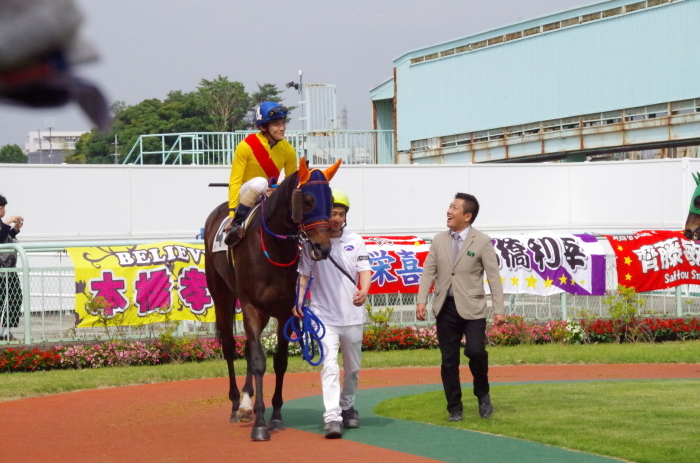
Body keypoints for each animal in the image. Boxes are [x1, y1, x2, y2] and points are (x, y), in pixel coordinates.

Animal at [202, 159, 342, 442]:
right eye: (307, 199)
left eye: (331, 199)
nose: (322, 248)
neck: (274, 249)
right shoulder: (250, 307)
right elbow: (258, 361)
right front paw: (260, 424)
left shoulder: (285, 310)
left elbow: (279, 361)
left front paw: (275, 416)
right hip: (222, 294)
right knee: (230, 347)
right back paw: (236, 404)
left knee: (246, 348)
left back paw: (245, 403)